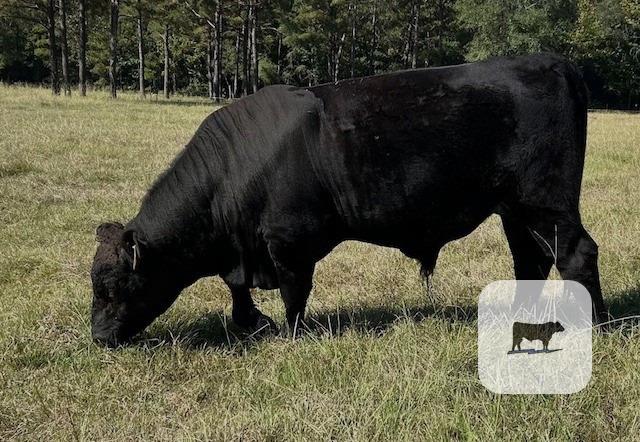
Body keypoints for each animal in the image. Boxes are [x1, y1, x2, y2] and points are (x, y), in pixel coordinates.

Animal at [91, 53, 608, 347]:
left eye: (112, 287)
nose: (96, 337)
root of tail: (549, 62)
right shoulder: (244, 248)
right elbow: (236, 289)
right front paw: (251, 320)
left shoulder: (289, 242)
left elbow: (295, 293)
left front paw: (290, 335)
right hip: (516, 211)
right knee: (531, 261)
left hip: (547, 203)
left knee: (577, 254)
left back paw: (595, 325)